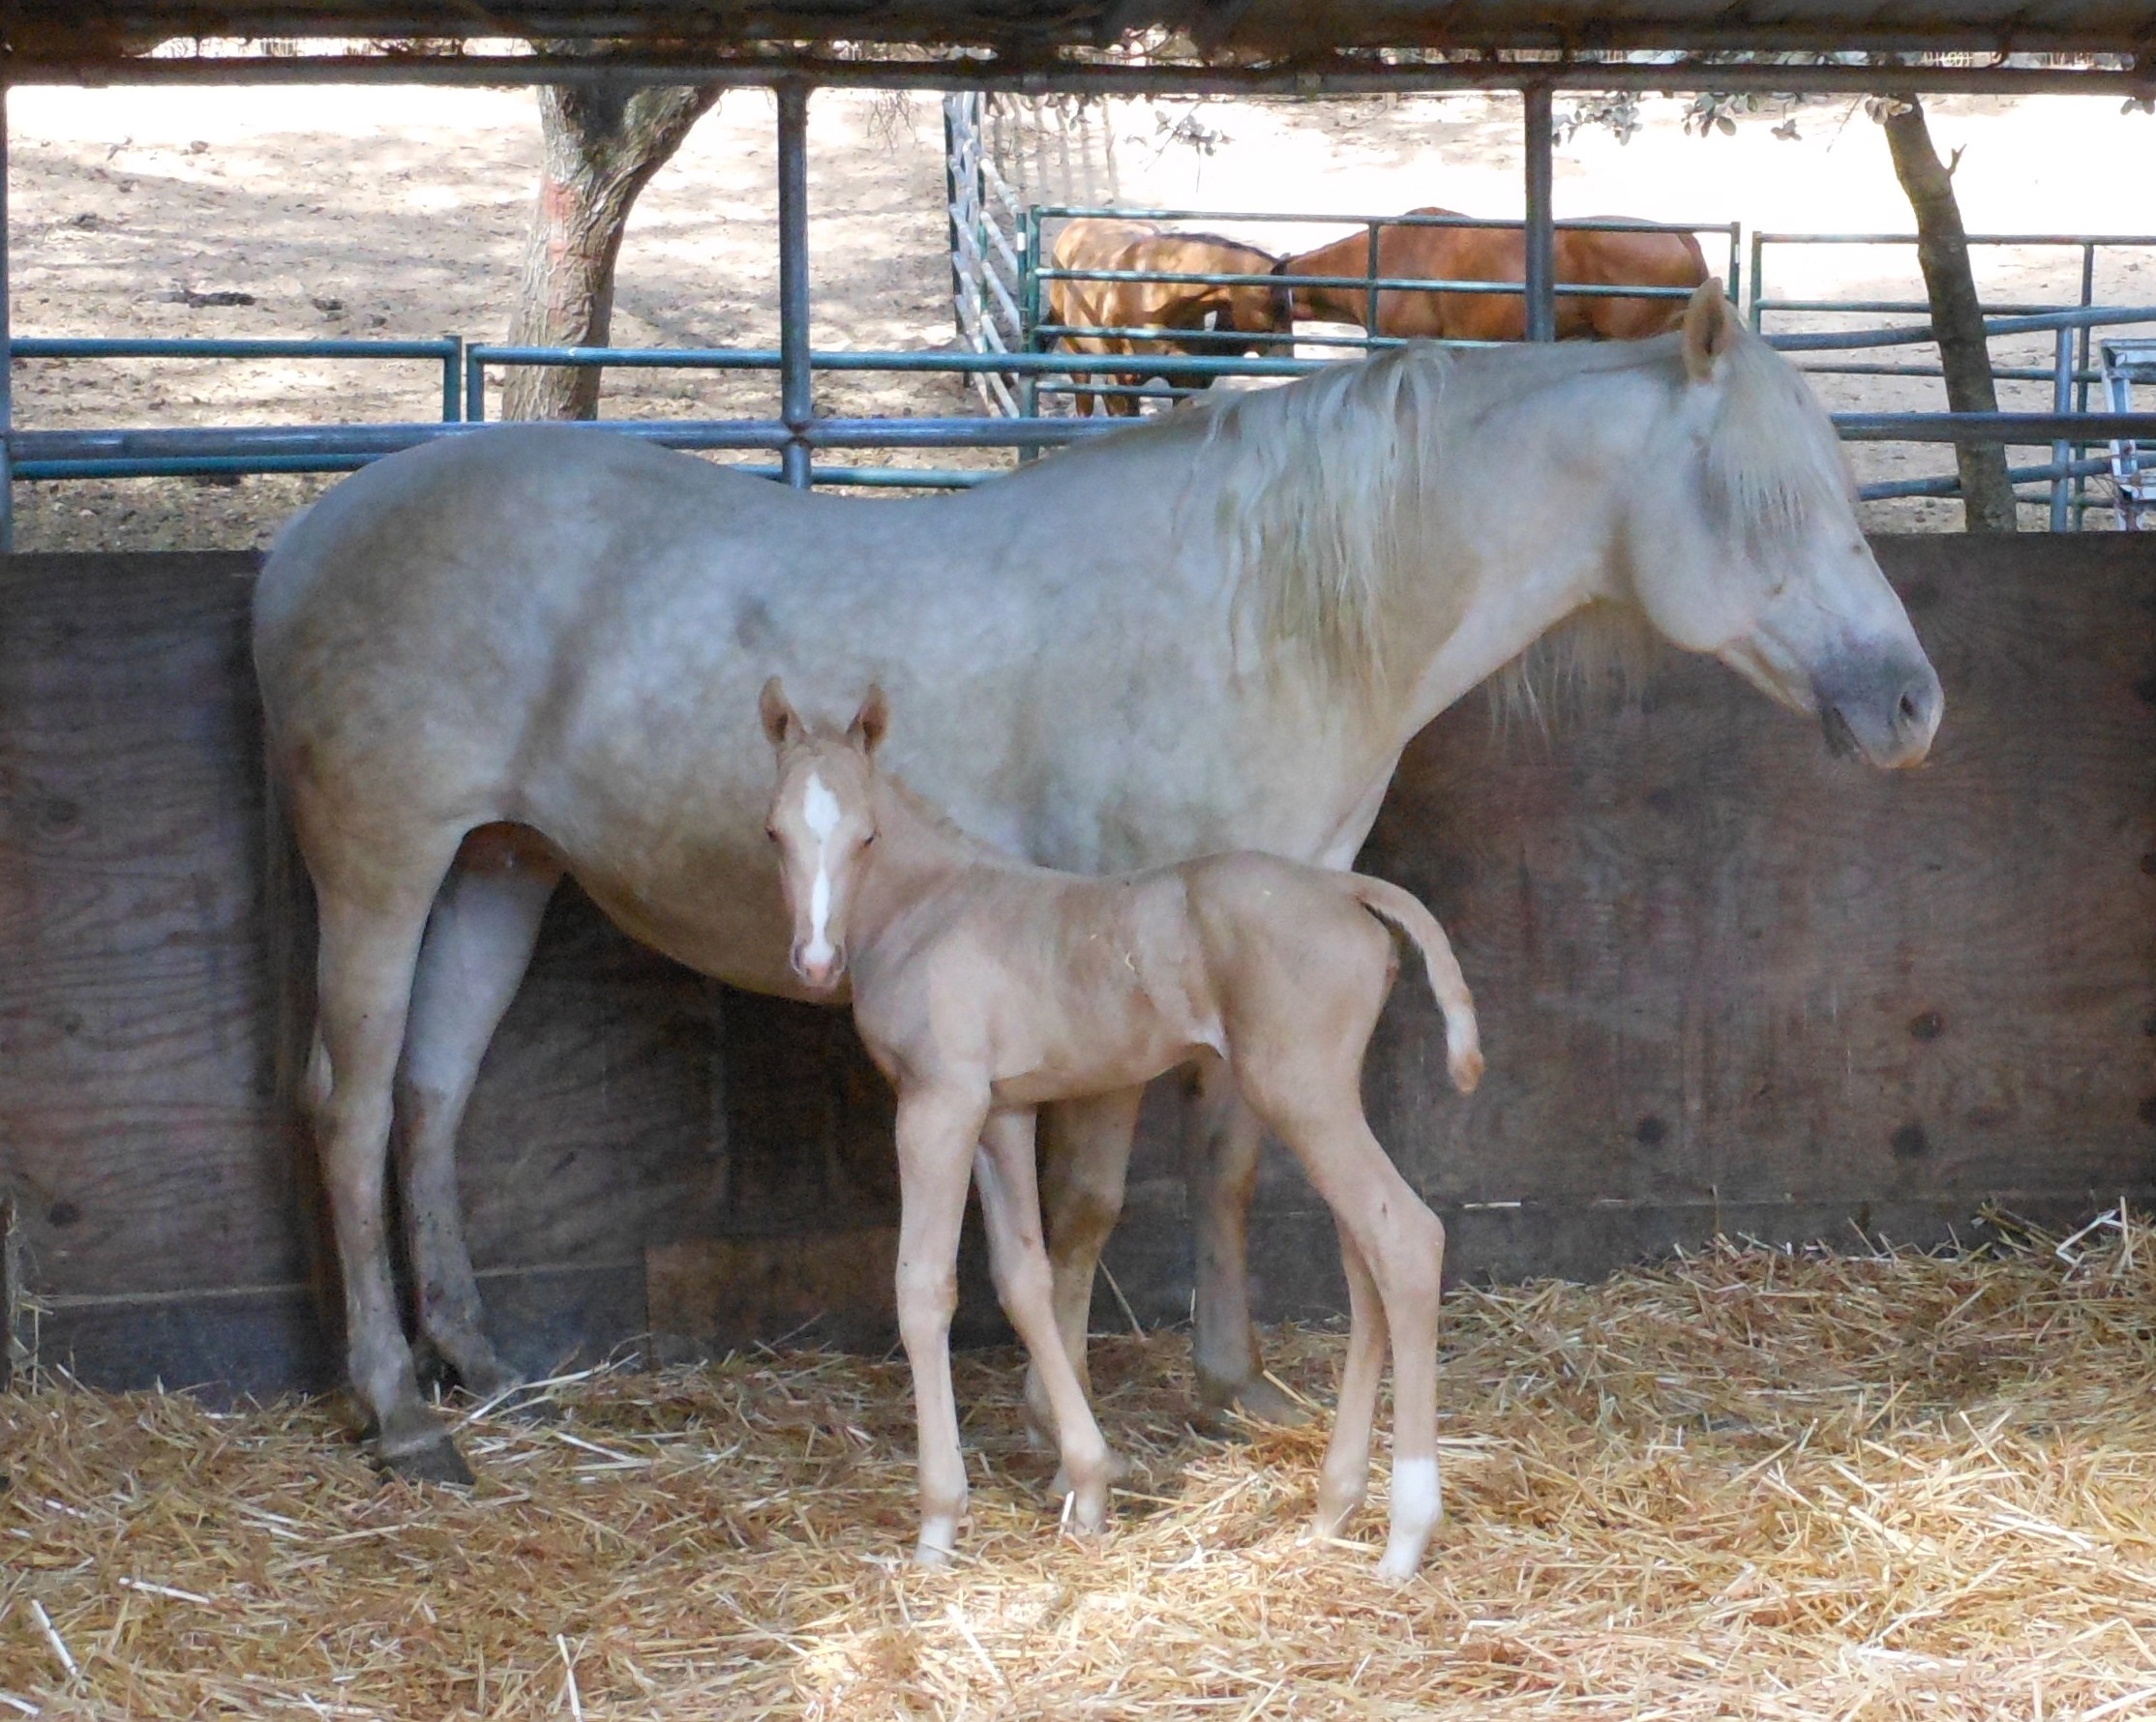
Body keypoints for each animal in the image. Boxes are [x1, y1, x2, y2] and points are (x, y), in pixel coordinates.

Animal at [758, 676, 1481, 1574]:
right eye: (775, 831)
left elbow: (924, 1289)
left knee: (1406, 1239)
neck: (931, 905)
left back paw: (1405, 1536)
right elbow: (1024, 1278)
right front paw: (1090, 1484)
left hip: (1298, 1089)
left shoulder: (938, 1102)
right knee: (1366, 1258)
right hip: (1324, 1096)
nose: (816, 962)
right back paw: (1334, 1507)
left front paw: (937, 1526)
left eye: (866, 836)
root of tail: (1345, 889)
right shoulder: (1001, 1110)